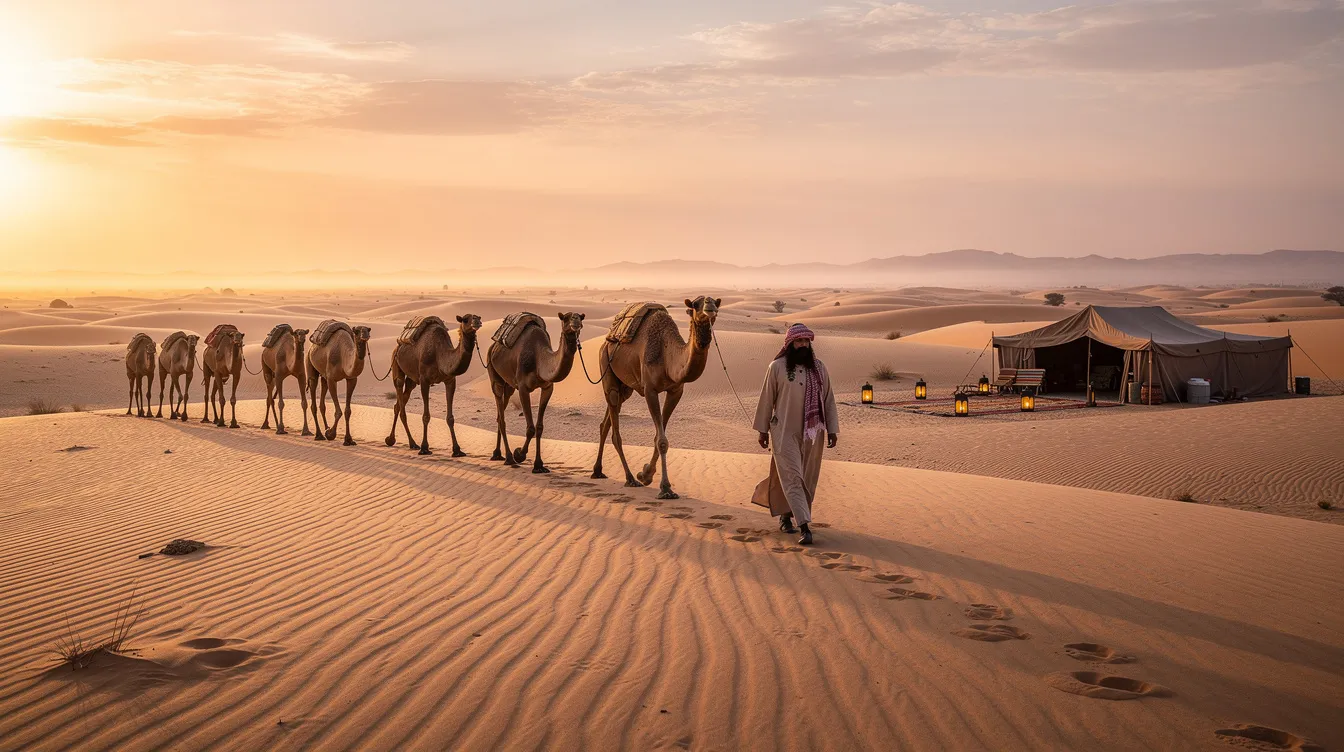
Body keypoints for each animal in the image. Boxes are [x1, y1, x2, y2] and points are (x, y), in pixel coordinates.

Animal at [384, 314, 482, 456]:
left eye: (478, 317)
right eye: (465, 319)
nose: (477, 321)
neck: (439, 354)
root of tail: (398, 345)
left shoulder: (450, 380)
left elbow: (450, 418)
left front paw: (457, 450)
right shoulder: (425, 380)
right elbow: (426, 416)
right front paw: (424, 447)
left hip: (412, 380)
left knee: (398, 403)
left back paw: (392, 440)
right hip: (396, 364)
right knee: (400, 392)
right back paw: (412, 443)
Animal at [486, 312, 584, 472]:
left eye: (581, 317)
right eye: (565, 318)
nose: (575, 322)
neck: (539, 360)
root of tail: (493, 345)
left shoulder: (547, 388)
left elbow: (539, 427)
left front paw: (539, 465)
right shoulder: (523, 387)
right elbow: (530, 428)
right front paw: (519, 454)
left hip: (509, 386)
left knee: (500, 415)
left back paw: (497, 454)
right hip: (495, 377)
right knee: (501, 416)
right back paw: (509, 458)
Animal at [591, 297, 721, 499]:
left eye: (716, 302)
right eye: (695, 304)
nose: (710, 307)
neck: (667, 357)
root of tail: (607, 340)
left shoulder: (676, 391)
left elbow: (659, 437)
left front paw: (646, 474)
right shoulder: (650, 390)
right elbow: (661, 440)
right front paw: (665, 488)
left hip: (625, 387)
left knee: (605, 423)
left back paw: (598, 471)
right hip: (606, 365)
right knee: (614, 427)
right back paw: (630, 478)